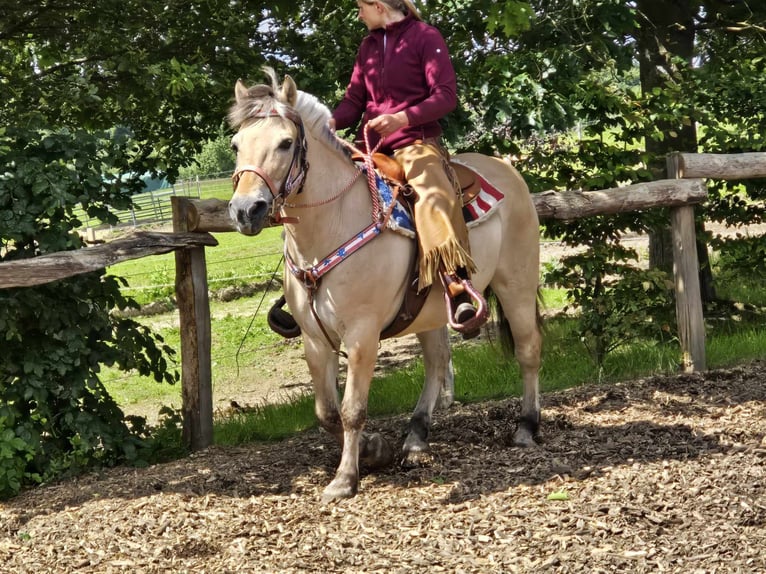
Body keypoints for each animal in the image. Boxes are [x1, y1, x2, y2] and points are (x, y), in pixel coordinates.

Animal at [225, 68, 544, 504]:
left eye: (285, 142)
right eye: (237, 144)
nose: (246, 210)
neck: (333, 223)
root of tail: (505, 170)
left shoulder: (362, 335)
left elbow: (352, 410)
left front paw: (345, 478)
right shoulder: (314, 339)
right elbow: (327, 412)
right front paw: (375, 449)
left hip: (517, 283)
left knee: (528, 349)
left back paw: (526, 427)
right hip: (431, 309)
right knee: (437, 363)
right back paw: (415, 440)